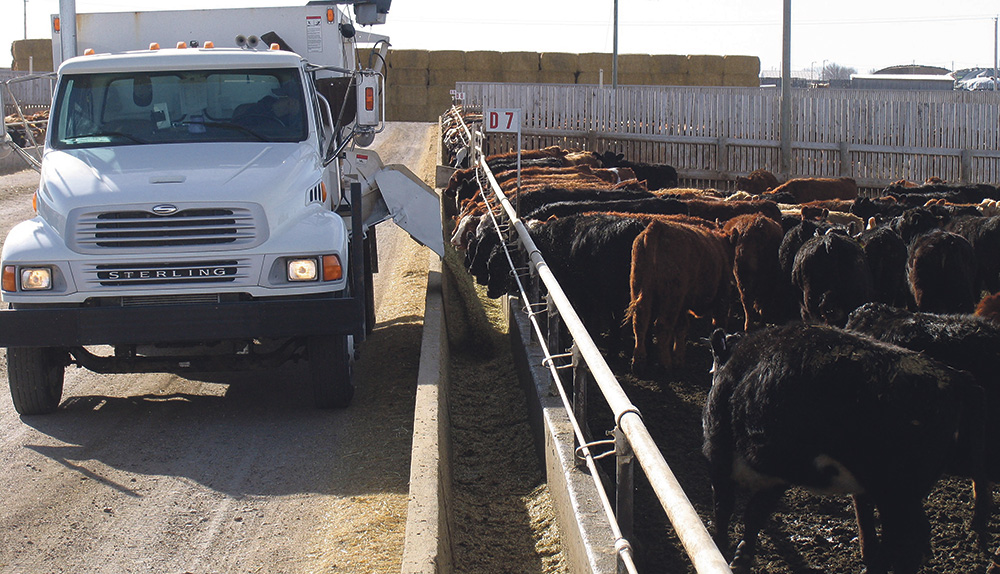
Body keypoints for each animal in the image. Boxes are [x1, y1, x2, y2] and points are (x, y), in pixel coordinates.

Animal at [628, 219, 732, 374]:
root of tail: (657, 226)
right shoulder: (722, 298)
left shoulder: (683, 304)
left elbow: (681, 328)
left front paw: (679, 358)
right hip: (672, 299)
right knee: (662, 325)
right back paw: (665, 364)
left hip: (641, 291)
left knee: (640, 322)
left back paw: (639, 362)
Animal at [708, 324, 980, 574]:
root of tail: (953, 377)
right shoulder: (779, 474)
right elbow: (754, 513)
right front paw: (741, 556)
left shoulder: (721, 454)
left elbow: (725, 509)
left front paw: (721, 547)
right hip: (901, 494)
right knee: (909, 537)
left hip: (893, 490)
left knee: (906, 539)